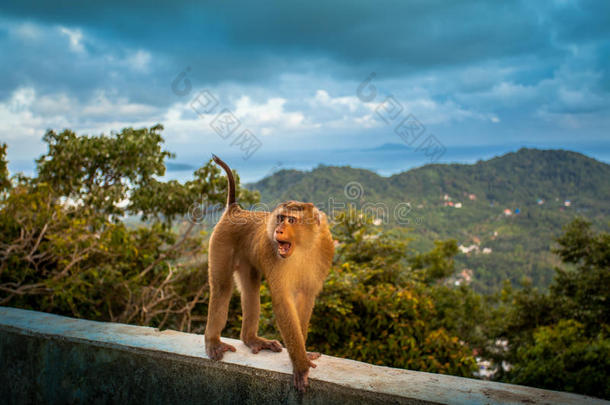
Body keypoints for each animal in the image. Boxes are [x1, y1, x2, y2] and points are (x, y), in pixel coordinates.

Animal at [205, 155, 334, 392]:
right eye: (281, 218)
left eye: (291, 220)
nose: (278, 230)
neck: (303, 247)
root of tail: (236, 210)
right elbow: (283, 301)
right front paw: (300, 364)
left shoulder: (325, 249)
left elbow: (306, 297)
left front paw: (302, 352)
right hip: (220, 240)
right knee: (222, 287)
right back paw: (213, 342)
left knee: (250, 289)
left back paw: (251, 339)